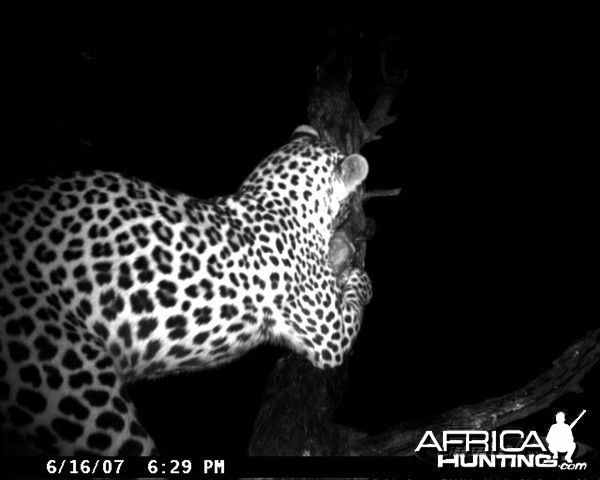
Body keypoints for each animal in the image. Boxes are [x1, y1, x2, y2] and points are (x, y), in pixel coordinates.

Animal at [0, 125, 372, 456]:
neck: (270, 201)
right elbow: (357, 295)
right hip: (80, 390)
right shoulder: (330, 335)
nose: (355, 217)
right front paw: (358, 273)